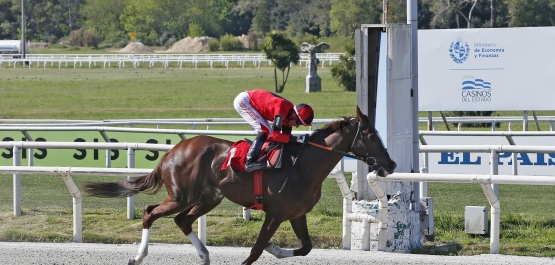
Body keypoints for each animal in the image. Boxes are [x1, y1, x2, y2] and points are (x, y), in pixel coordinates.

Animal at [83, 105, 396, 264]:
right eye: (370, 133)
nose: (391, 165)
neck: (304, 166)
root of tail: (172, 152)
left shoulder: (296, 214)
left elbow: (305, 247)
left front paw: (276, 249)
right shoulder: (275, 213)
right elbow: (255, 250)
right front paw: (268, 248)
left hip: (209, 198)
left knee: (182, 221)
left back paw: (204, 255)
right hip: (183, 195)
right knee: (150, 212)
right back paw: (138, 257)